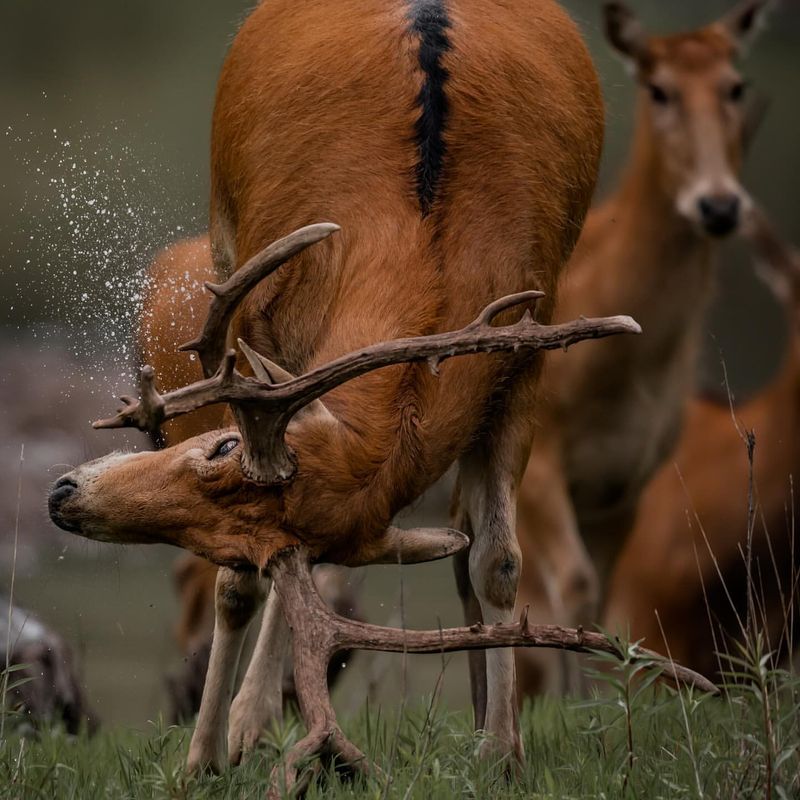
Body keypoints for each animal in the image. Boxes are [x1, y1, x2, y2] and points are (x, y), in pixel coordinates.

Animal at [45, 0, 644, 780]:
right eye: (221, 444)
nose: (64, 496)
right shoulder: (255, 327)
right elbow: (235, 590)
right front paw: (205, 756)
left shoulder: (526, 350)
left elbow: (498, 561)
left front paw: (501, 751)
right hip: (225, 239)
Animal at [512, 0, 768, 692]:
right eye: (659, 89)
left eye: (735, 85)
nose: (718, 205)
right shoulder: (539, 463)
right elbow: (570, 588)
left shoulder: (626, 482)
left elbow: (597, 602)